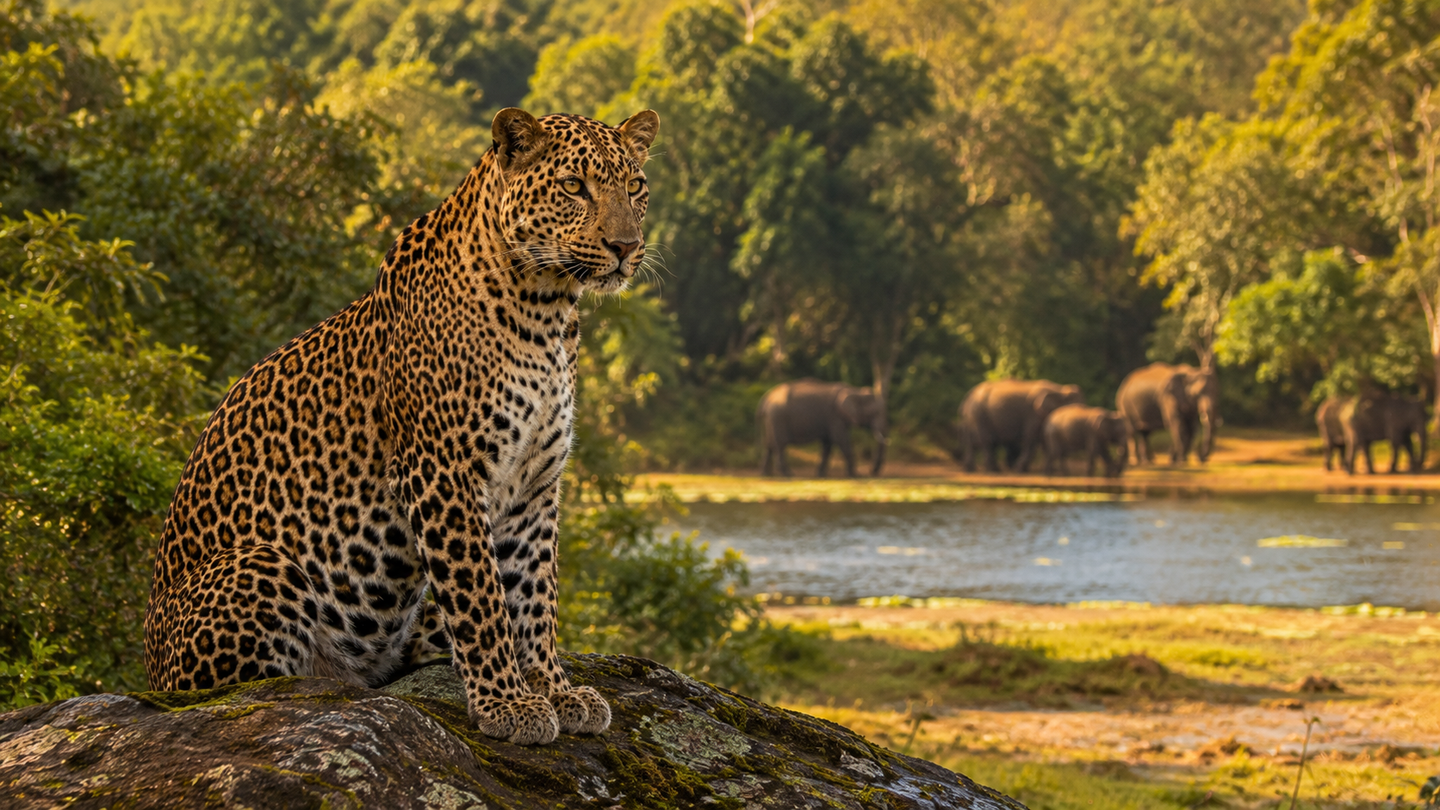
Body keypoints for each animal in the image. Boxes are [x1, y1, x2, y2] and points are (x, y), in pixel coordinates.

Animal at [757, 379, 887, 477]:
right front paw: (855, 475)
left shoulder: (831, 420)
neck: (855, 390)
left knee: (768, 445)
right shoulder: (835, 416)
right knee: (780, 445)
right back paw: (788, 474)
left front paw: (820, 475)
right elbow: (841, 440)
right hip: (777, 418)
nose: (872, 471)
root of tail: (766, 398)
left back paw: (765, 474)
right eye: (874, 414)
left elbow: (827, 444)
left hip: (769, 420)